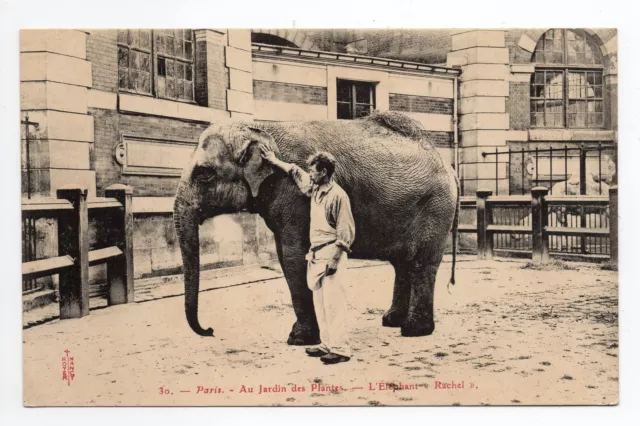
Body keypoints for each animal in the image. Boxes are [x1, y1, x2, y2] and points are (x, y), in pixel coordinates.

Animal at [172, 111, 458, 344]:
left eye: (204, 173)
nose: (210, 330)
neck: (260, 127)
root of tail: (447, 164)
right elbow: (285, 256)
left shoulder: (293, 196)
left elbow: (293, 257)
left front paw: (299, 339)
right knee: (403, 263)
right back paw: (391, 321)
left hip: (435, 207)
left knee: (422, 262)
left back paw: (413, 330)